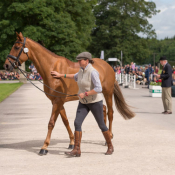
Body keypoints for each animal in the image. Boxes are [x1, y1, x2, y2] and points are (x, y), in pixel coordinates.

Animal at [4, 32, 135, 155]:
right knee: (102, 109)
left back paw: (109, 137)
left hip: (108, 93)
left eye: (16, 47)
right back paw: (106, 135)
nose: (6, 65)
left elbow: (51, 123)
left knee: (110, 113)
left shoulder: (58, 101)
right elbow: (65, 121)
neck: (51, 68)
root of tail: (109, 66)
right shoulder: (57, 101)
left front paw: (44, 147)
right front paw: (72, 142)